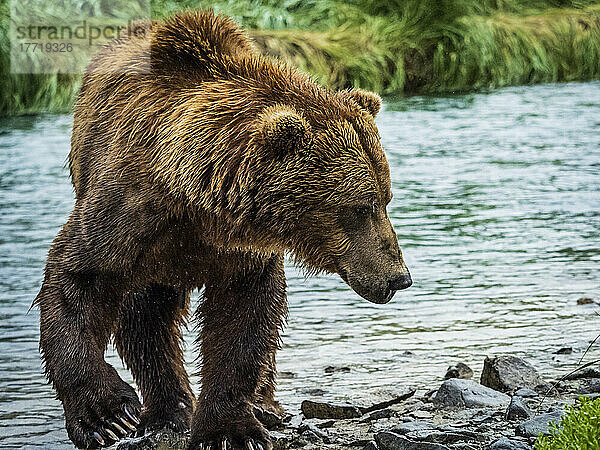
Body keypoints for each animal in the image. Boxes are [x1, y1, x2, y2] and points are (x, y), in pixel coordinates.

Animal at [35, 10, 412, 450]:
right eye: (359, 207)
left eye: (386, 198)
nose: (399, 277)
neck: (200, 205)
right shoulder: (130, 211)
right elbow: (79, 278)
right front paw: (106, 415)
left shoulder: (242, 249)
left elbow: (243, 321)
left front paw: (232, 429)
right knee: (146, 319)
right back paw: (169, 410)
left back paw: (264, 405)